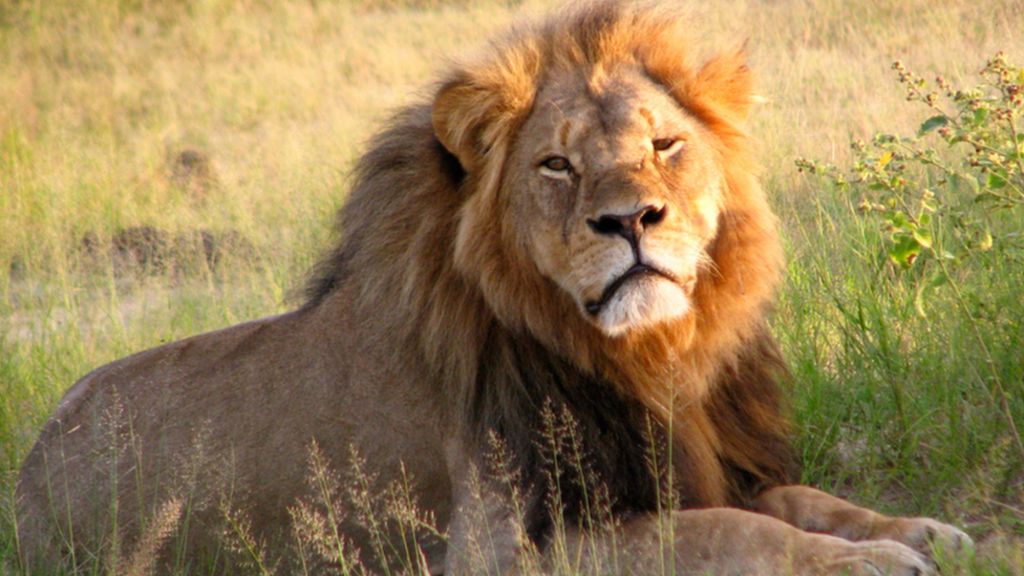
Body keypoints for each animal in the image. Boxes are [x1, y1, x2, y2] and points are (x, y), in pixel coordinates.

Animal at [17, 2, 969, 574]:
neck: (648, 358)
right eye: (557, 164)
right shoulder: (502, 550)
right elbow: (726, 531)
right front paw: (863, 561)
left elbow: (797, 499)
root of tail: (25, 472)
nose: (632, 220)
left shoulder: (687, 460)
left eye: (664, 144)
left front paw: (915, 530)